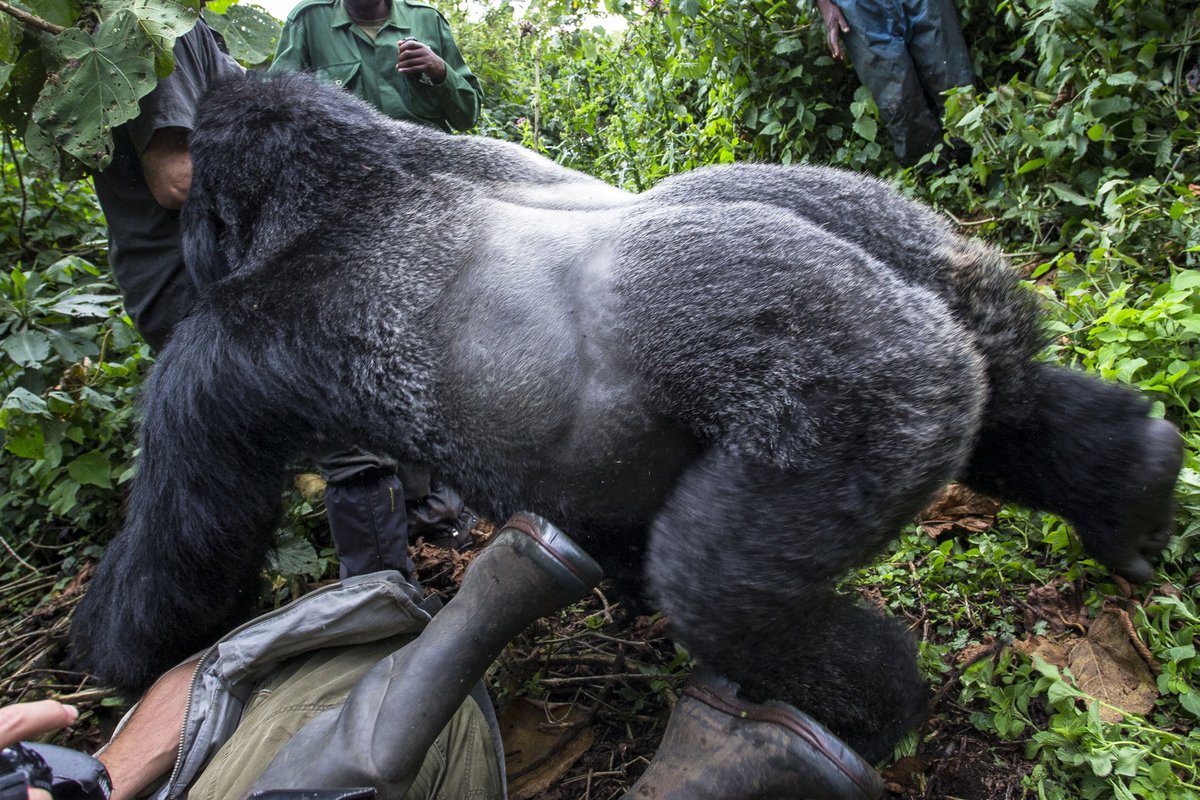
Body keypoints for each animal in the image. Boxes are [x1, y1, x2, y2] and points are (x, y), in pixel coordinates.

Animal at [72, 73, 1180, 777]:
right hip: (942, 279)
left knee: (722, 588)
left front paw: (115, 664)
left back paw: (866, 710)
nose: (183, 235)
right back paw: (1128, 482)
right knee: (1011, 397)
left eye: (194, 219)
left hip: (871, 386)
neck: (355, 179)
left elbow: (183, 544)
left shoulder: (219, 358)